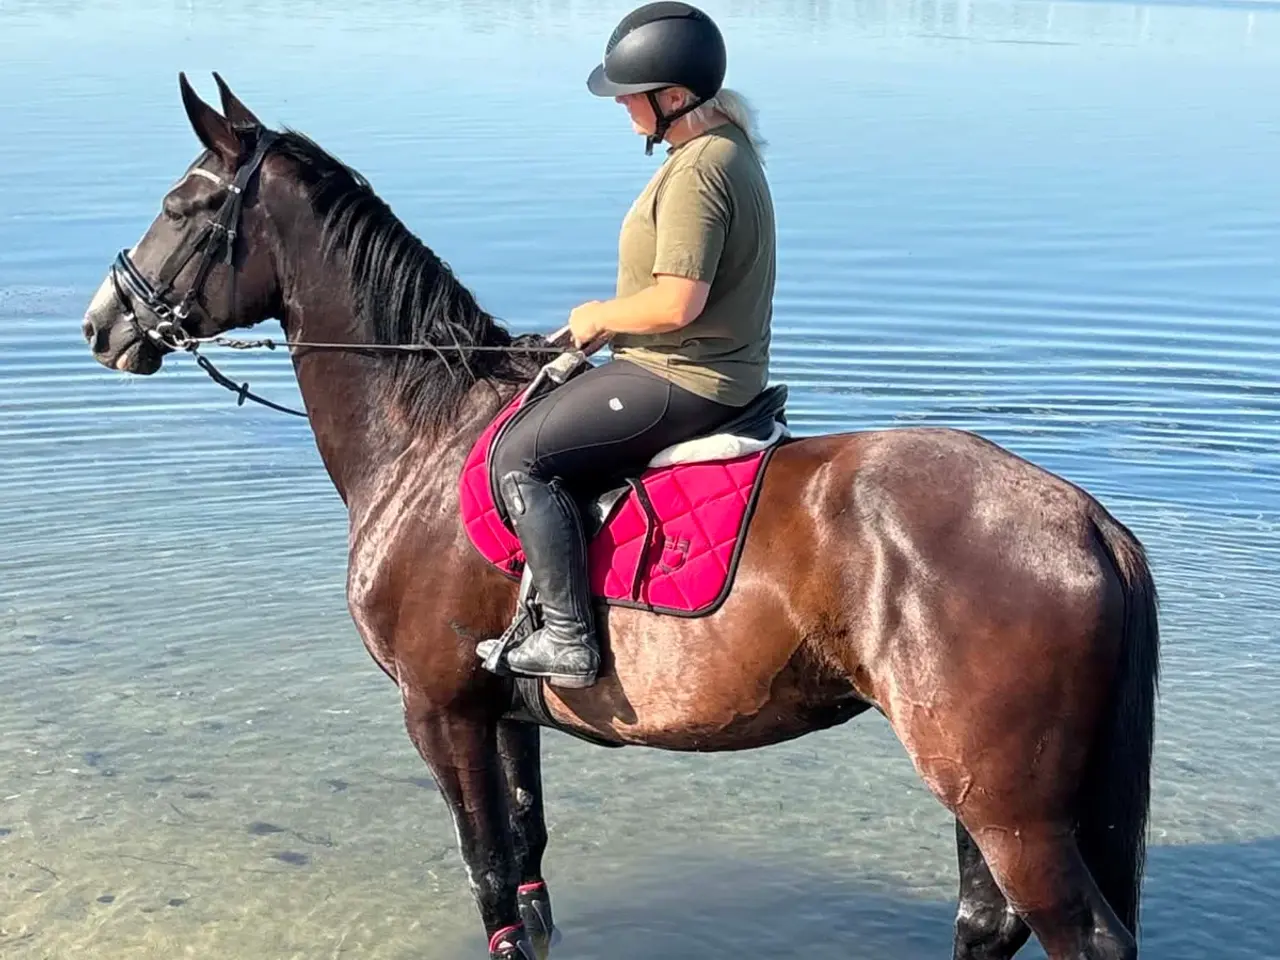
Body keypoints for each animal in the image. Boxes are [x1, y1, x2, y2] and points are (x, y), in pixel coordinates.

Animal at [79, 74, 1159, 960]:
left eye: (183, 205)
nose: (101, 323)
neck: (425, 435)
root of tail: (1083, 522)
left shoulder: (439, 710)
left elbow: (489, 879)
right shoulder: (502, 715)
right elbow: (527, 872)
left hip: (1008, 803)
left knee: (1074, 935)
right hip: (982, 790)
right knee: (986, 921)